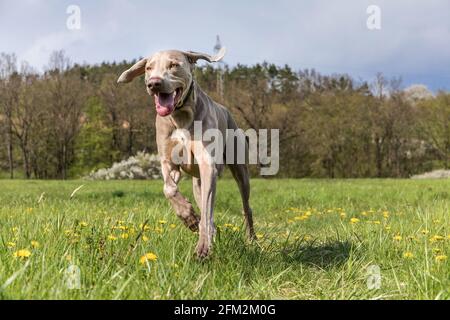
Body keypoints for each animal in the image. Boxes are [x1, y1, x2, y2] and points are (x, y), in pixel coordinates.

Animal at [118, 48, 255, 258]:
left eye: (174, 65)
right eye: (149, 68)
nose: (154, 83)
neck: (179, 115)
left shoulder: (208, 165)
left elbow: (206, 212)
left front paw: (203, 247)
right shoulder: (168, 163)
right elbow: (168, 189)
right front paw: (188, 217)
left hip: (240, 170)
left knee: (245, 206)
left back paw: (251, 239)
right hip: (197, 183)